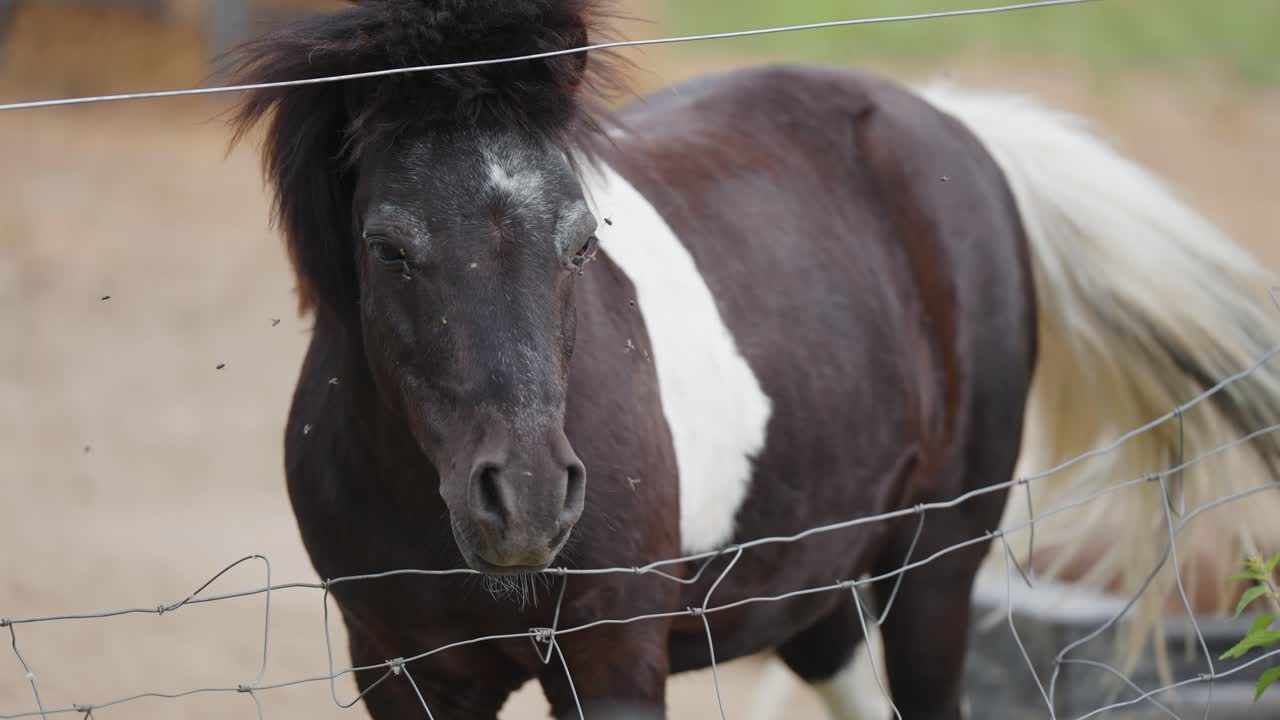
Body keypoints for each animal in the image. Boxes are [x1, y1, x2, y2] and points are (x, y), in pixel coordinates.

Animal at [224, 1, 1280, 718]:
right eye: (389, 248)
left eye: (580, 239)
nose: (523, 498)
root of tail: (952, 126)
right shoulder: (401, 674)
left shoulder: (612, 665)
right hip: (814, 590)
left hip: (936, 572)